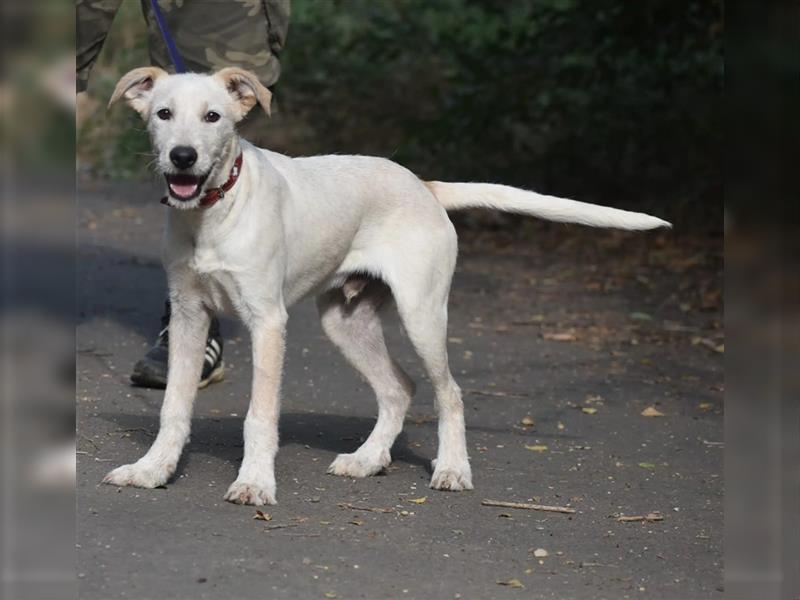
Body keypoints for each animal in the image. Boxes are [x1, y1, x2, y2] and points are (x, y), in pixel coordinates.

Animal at [103, 67, 672, 506]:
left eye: (213, 117)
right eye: (163, 114)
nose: (182, 157)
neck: (214, 212)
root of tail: (424, 185)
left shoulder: (267, 322)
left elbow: (259, 416)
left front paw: (255, 483)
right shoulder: (188, 315)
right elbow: (174, 407)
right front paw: (153, 470)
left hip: (423, 315)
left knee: (449, 393)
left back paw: (452, 469)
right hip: (345, 322)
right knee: (400, 388)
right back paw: (369, 459)